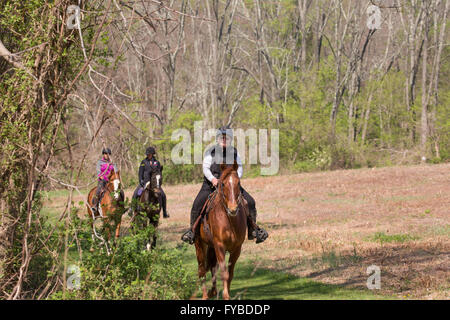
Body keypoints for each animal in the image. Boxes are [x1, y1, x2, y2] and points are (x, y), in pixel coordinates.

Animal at [195, 162, 248, 300]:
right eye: (223, 184)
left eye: (238, 183)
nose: (233, 209)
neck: (230, 221)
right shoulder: (220, 246)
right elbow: (224, 273)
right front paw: (225, 296)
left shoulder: (236, 249)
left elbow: (230, 274)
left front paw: (226, 293)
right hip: (200, 245)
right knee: (202, 270)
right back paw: (205, 295)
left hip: (211, 247)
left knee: (213, 268)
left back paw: (212, 292)